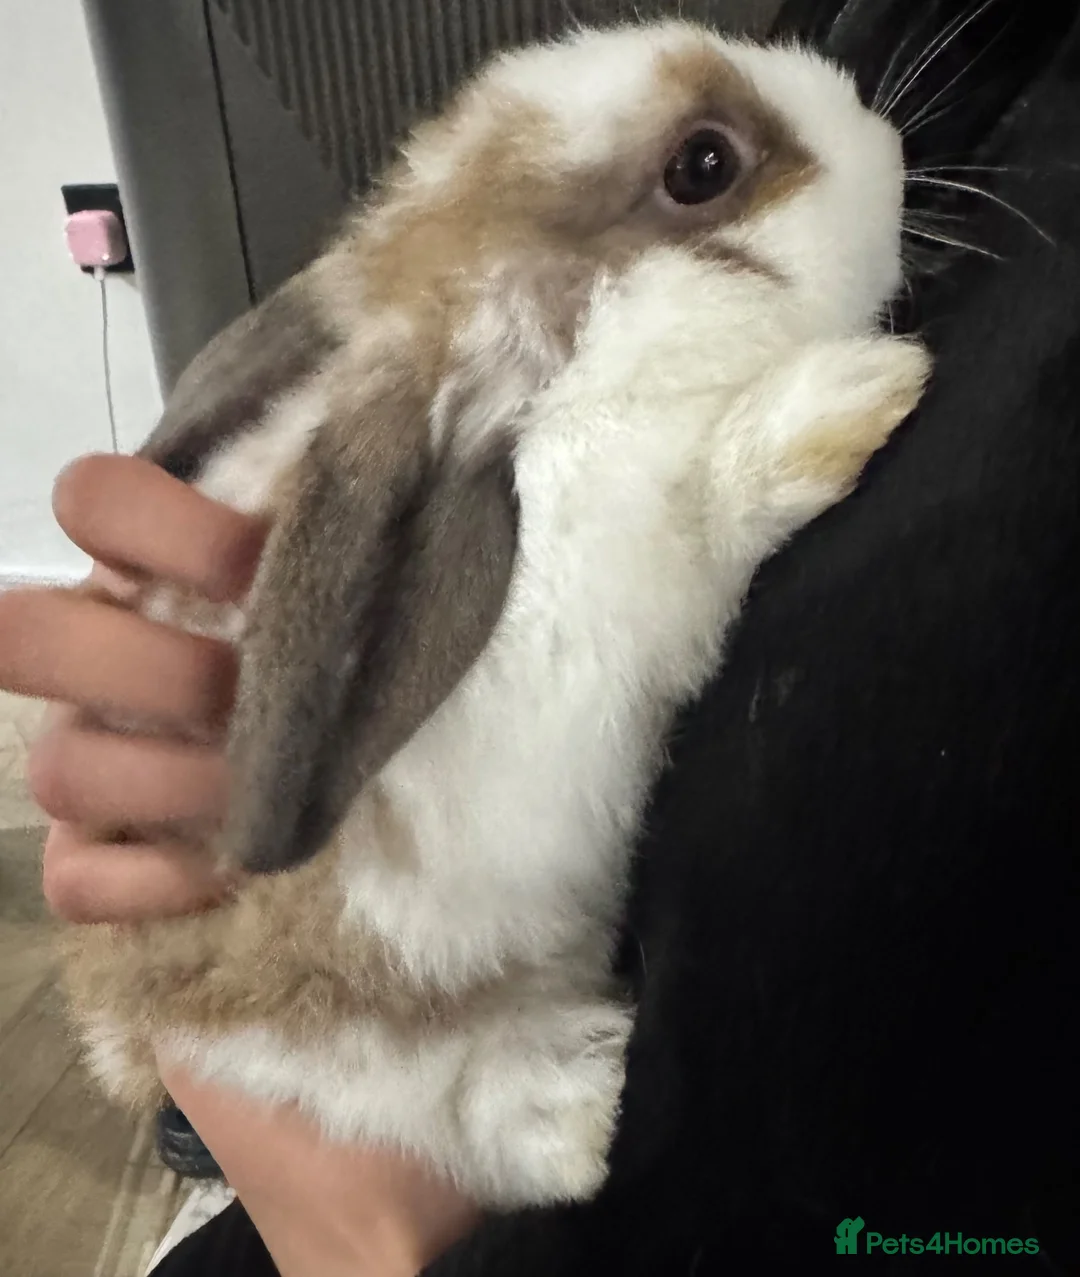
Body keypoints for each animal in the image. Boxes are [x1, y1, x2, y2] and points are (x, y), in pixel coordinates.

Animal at [61, 20, 930, 1209]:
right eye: (704, 165)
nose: (884, 135)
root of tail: (127, 1029)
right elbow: (706, 495)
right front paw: (848, 399)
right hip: (332, 1014)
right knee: (421, 1090)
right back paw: (579, 1105)